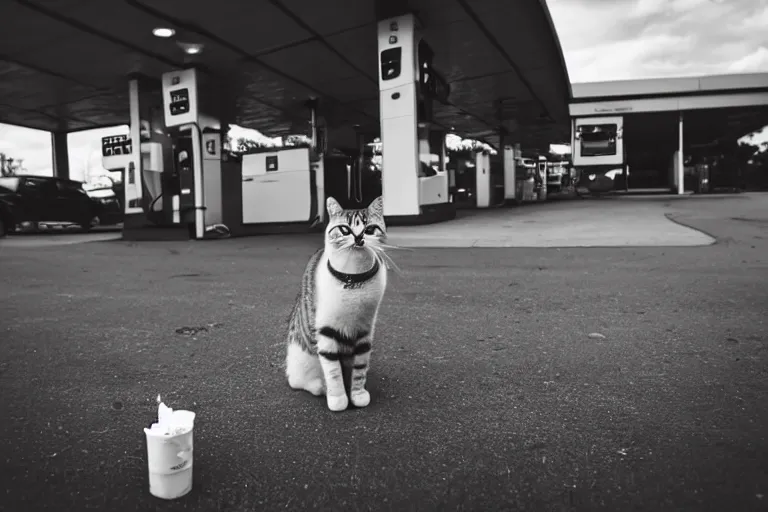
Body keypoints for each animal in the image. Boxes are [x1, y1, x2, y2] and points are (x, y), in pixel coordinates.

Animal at [284, 196, 390, 412]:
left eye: (369, 229)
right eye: (344, 229)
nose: (359, 238)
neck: (354, 279)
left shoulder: (365, 331)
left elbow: (360, 367)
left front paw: (357, 394)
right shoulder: (326, 330)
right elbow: (333, 371)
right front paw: (338, 398)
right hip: (301, 361)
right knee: (299, 381)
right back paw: (320, 386)